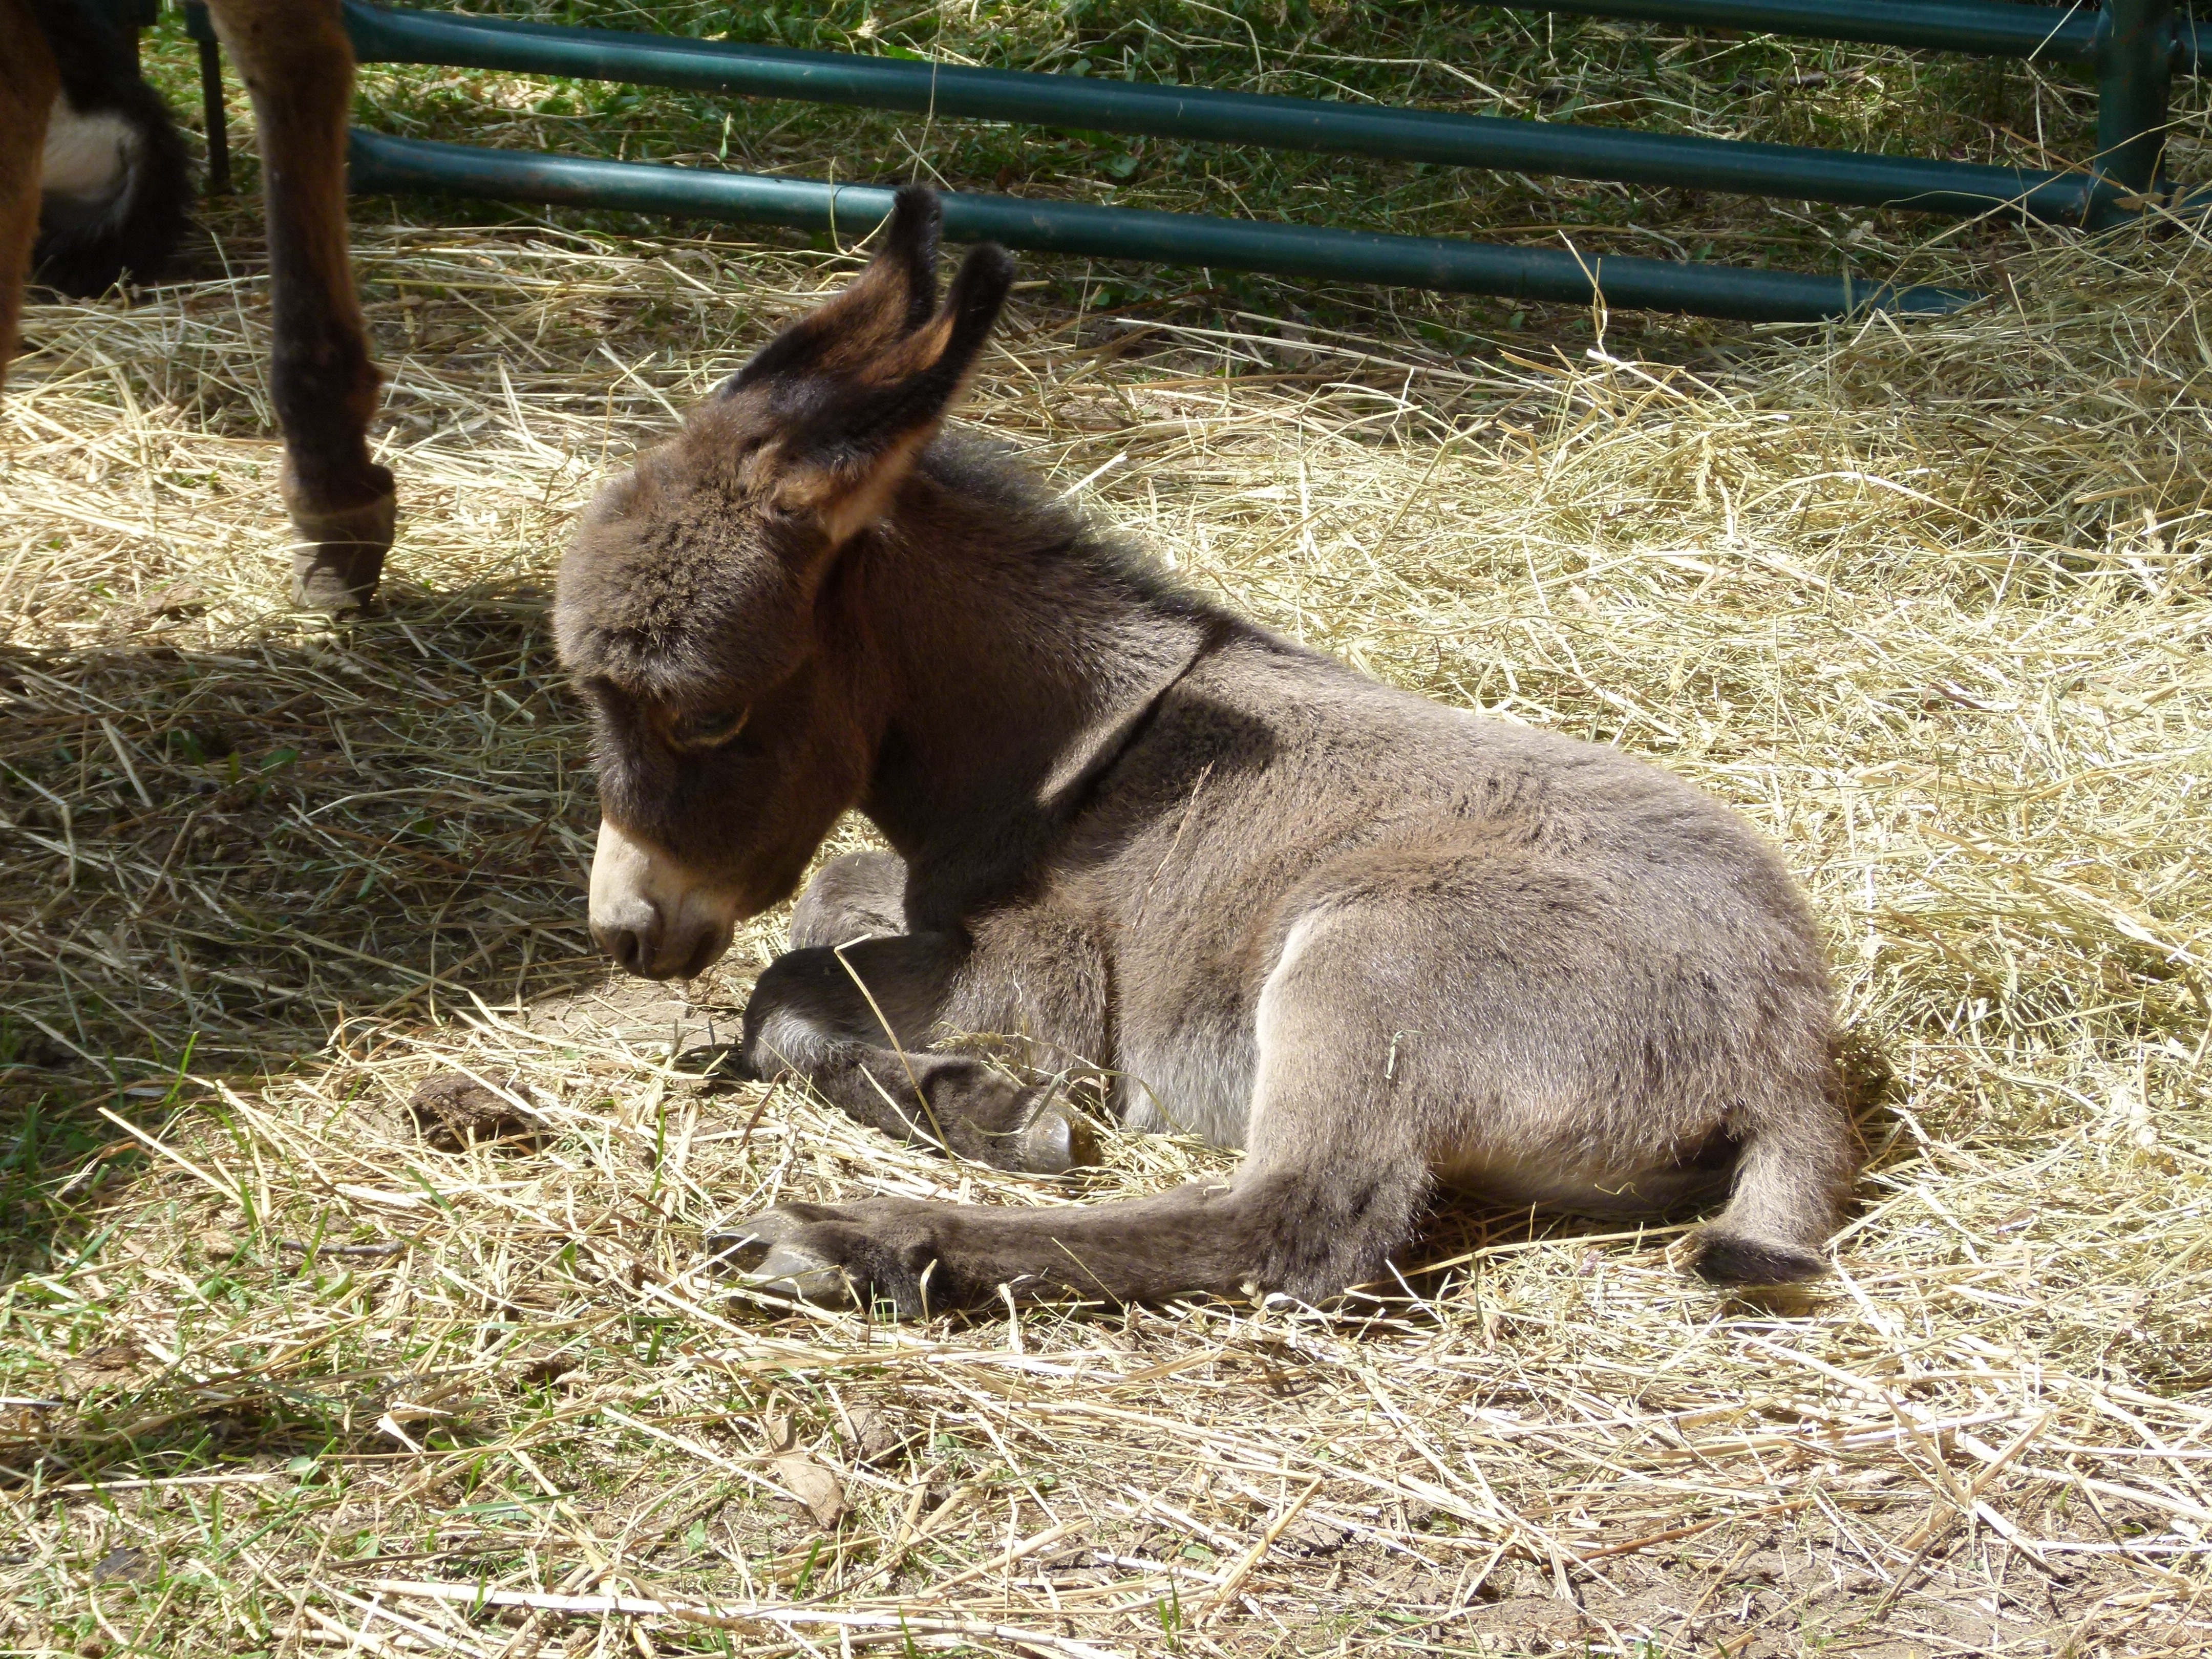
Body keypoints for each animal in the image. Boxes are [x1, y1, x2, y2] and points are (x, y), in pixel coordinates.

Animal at [553, 188, 1849, 1318]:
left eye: (704, 715)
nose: (623, 932)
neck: (1059, 759)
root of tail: (1790, 1052)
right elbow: (828, 898)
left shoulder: (1039, 991)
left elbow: (785, 991)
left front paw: (984, 1107)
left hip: (1369, 960)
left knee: (1299, 1222)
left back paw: (856, 1240)